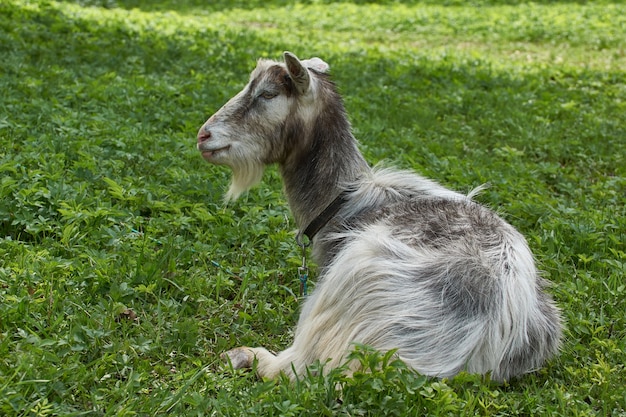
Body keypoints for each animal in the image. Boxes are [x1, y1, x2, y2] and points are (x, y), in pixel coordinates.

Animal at [195, 51, 560, 380]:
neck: (343, 201)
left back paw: (245, 356)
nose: (203, 135)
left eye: (268, 94)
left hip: (356, 280)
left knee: (299, 367)